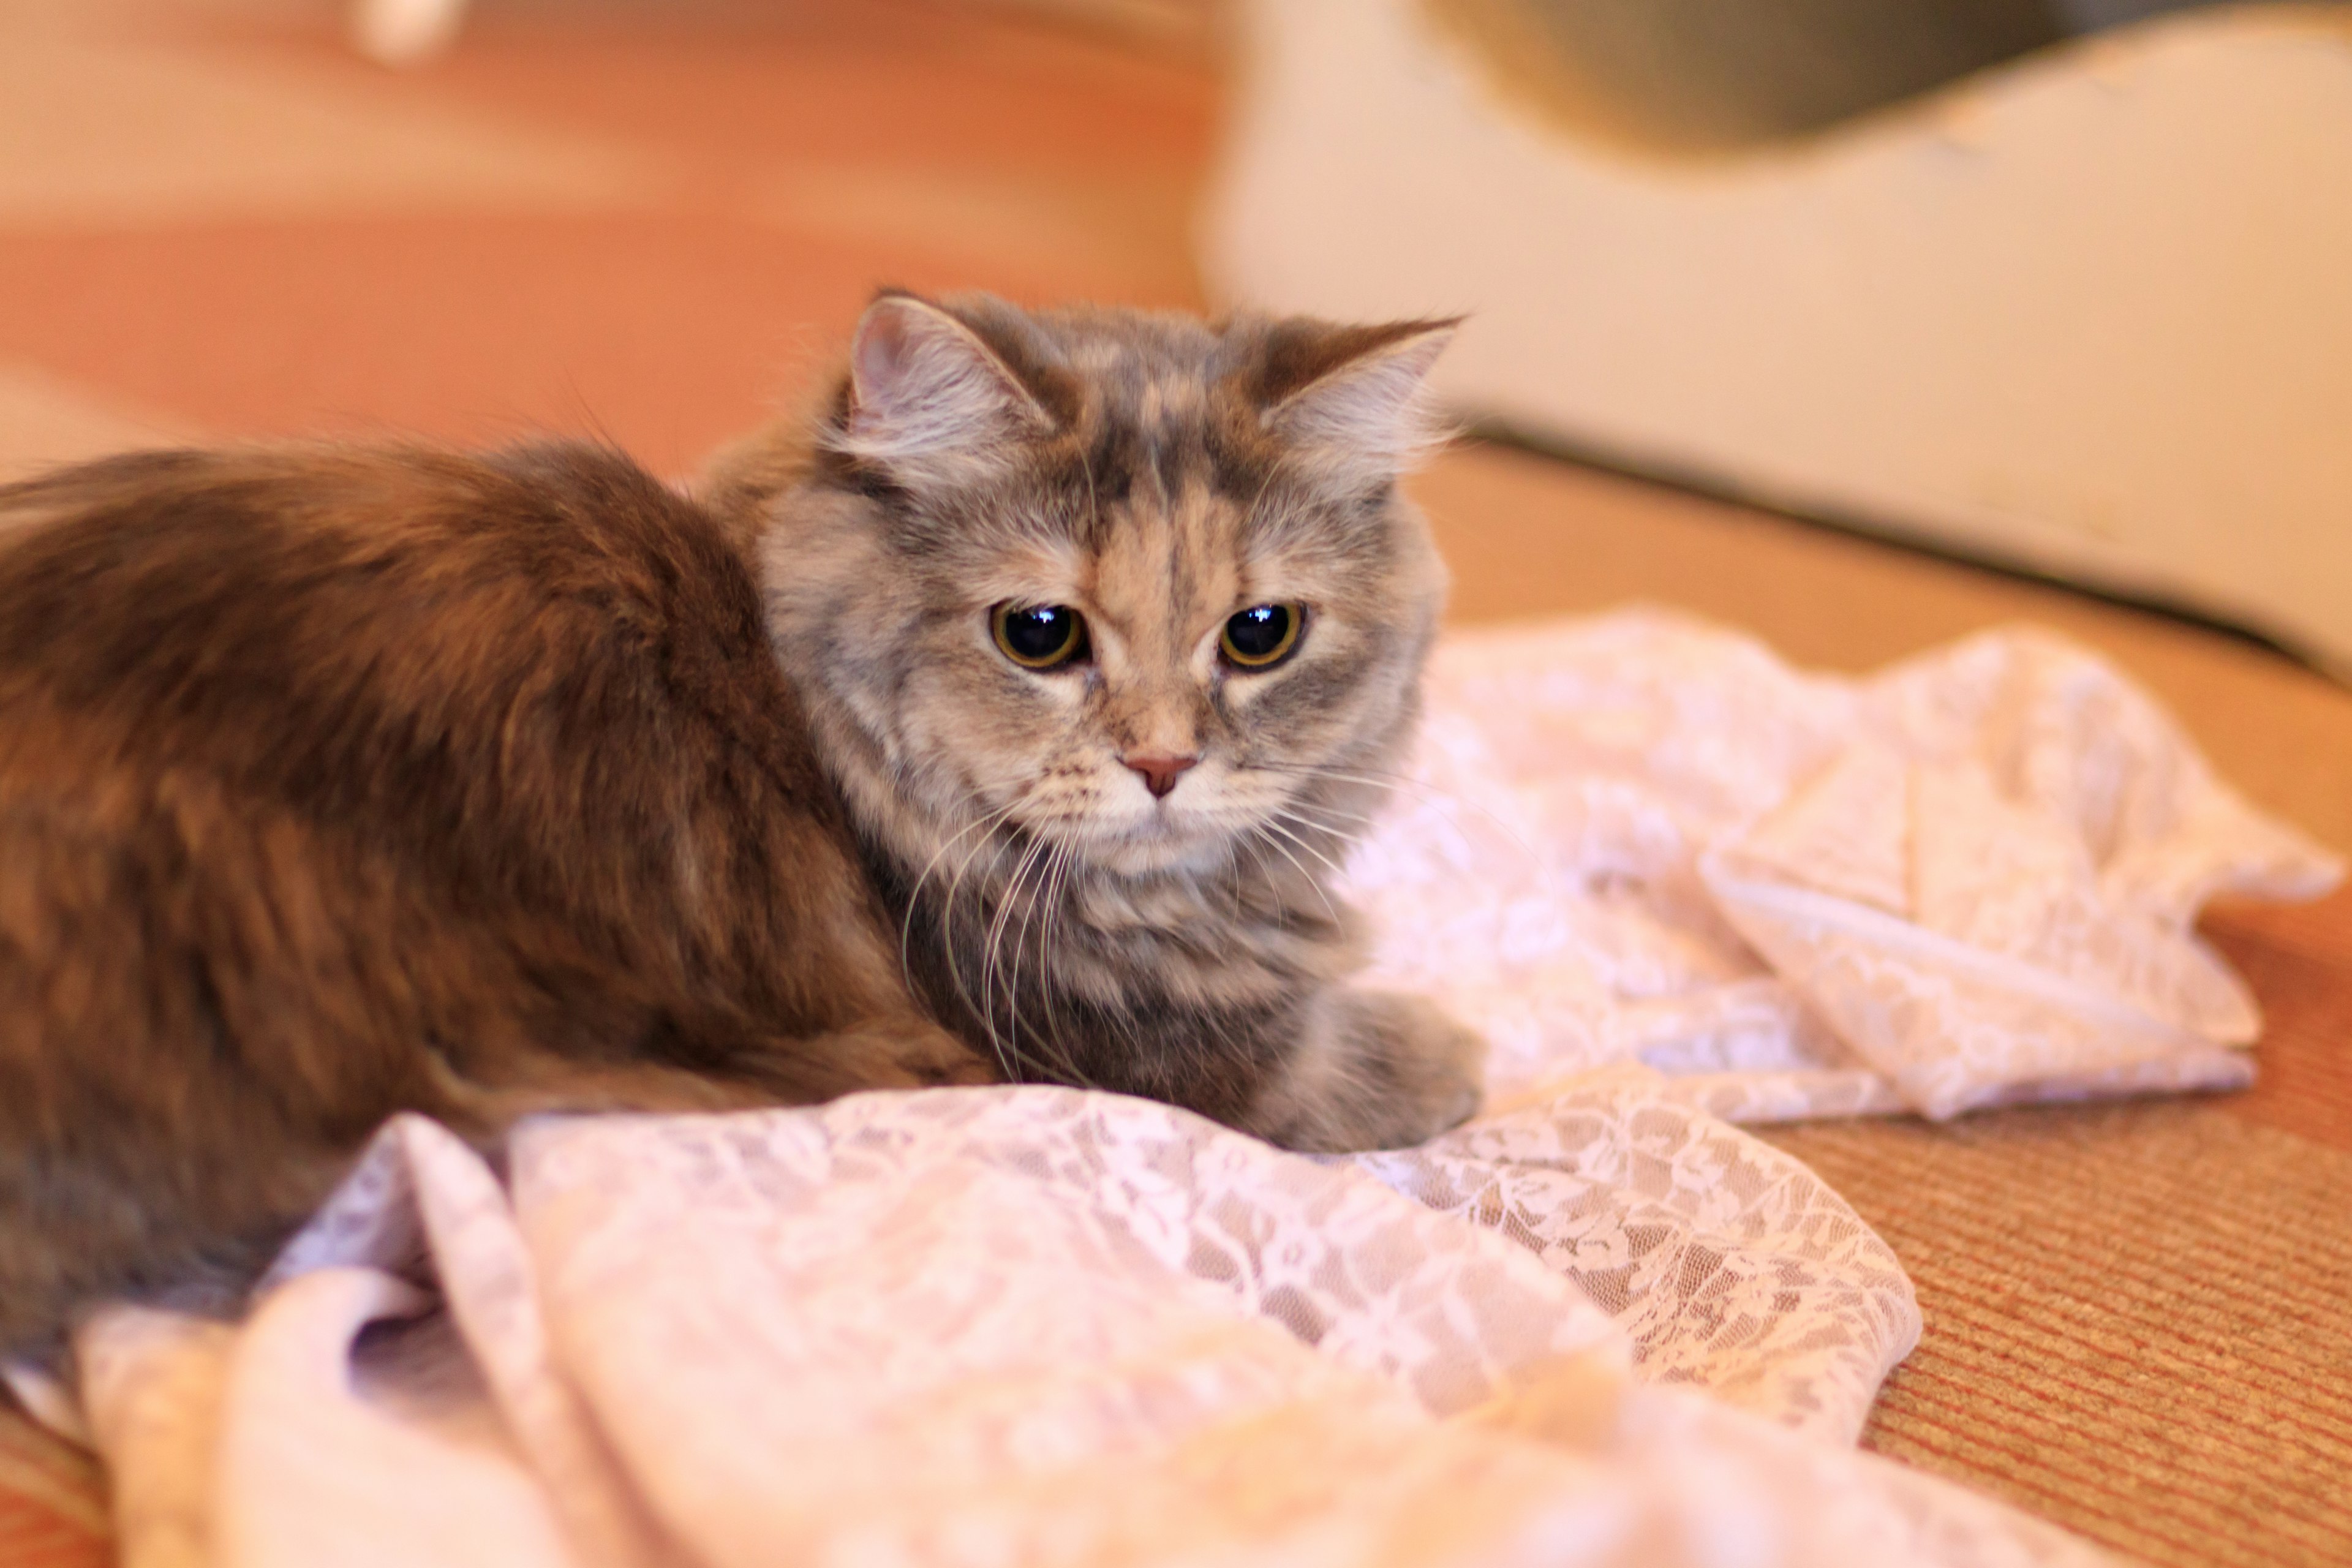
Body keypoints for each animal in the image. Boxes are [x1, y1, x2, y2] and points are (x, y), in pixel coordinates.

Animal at [0, 288, 1486, 1354]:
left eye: (1261, 634)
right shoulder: (1175, 1062)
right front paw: (1461, 1049)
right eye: (1041, 634)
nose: (1165, 762)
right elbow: (1375, 1061)